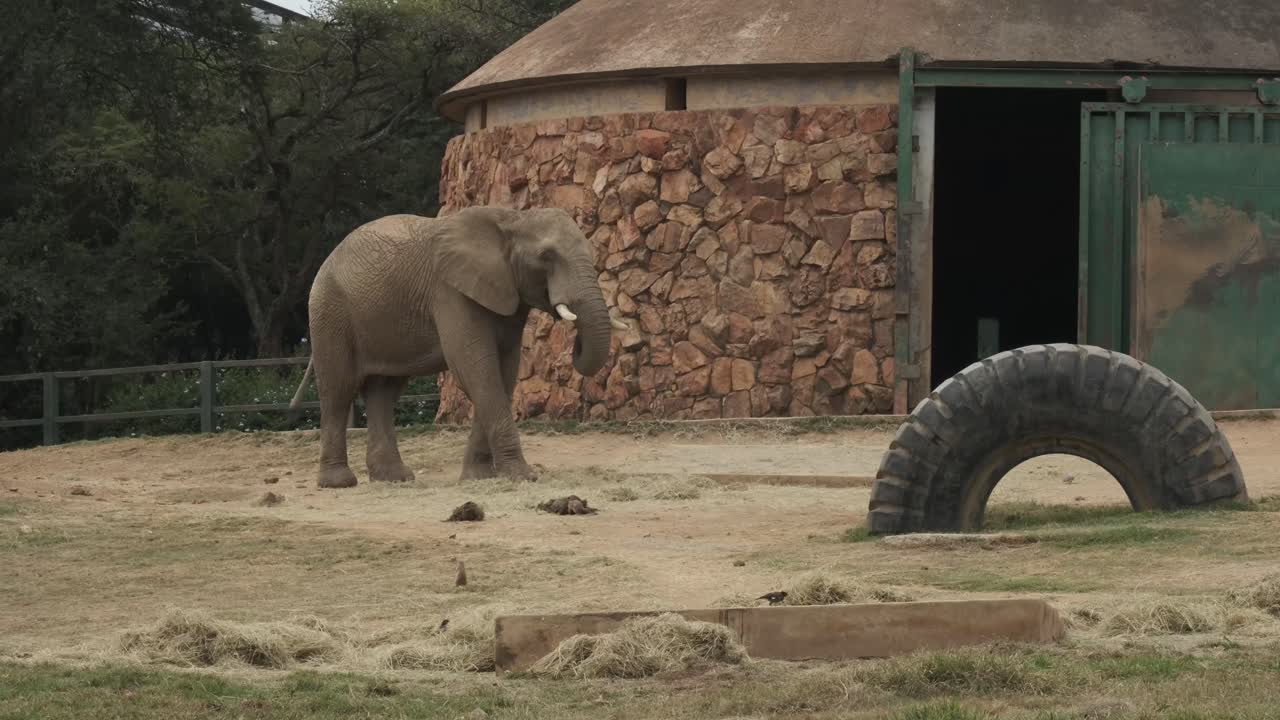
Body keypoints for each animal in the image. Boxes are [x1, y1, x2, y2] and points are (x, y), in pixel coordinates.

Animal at [288, 206, 626, 489]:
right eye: (547, 255)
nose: (575, 343)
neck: (511, 218)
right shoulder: (451, 293)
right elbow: (475, 369)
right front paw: (523, 476)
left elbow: (503, 373)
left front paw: (479, 478)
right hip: (330, 313)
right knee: (339, 391)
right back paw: (339, 483)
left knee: (383, 392)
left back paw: (395, 479)